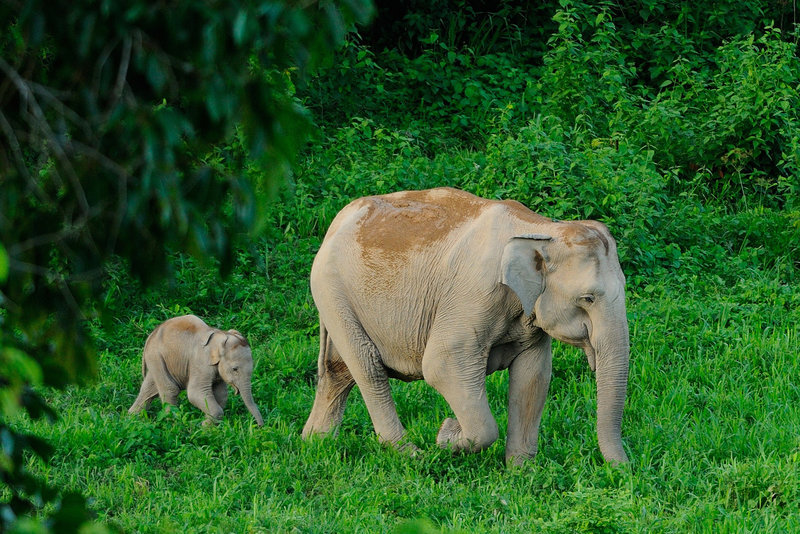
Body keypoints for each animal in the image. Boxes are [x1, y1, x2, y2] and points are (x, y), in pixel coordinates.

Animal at [128, 318, 264, 428]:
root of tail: (150, 336)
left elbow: (221, 394)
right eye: (235, 369)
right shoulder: (201, 363)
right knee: (170, 389)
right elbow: (195, 393)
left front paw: (208, 425)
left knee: (149, 388)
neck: (221, 335)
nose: (259, 426)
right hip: (156, 357)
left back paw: (132, 418)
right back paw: (172, 423)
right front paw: (203, 427)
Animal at [302, 187, 632, 464]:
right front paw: (446, 434)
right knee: (367, 367)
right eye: (587, 298)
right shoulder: (472, 295)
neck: (542, 228)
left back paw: (315, 444)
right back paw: (412, 455)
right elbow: (441, 365)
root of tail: (336, 221)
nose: (625, 471)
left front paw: (521, 472)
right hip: (332, 290)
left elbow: (534, 376)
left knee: (337, 370)